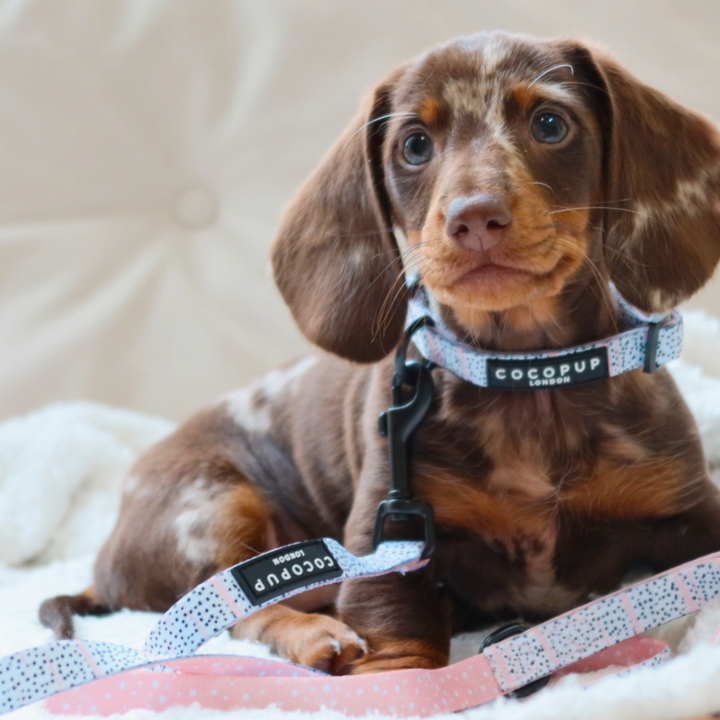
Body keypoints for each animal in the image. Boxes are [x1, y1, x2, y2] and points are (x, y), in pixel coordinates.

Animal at [40, 32, 720, 676]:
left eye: (551, 124)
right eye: (414, 145)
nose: (475, 218)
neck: (527, 379)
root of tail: (105, 562)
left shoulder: (690, 510)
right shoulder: (386, 535)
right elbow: (398, 630)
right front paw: (400, 679)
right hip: (211, 504)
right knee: (242, 613)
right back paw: (315, 635)